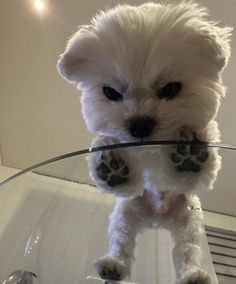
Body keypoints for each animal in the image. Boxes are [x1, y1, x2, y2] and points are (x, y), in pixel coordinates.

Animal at [57, 1, 232, 282]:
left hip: (189, 221)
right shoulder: (128, 177)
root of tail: (157, 218)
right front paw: (111, 166)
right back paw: (114, 265)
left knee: (187, 251)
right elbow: (115, 159)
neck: (152, 146)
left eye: (171, 89)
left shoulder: (190, 181)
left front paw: (190, 154)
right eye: (110, 92)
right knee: (122, 242)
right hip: (126, 214)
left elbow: (191, 169)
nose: (138, 125)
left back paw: (193, 274)